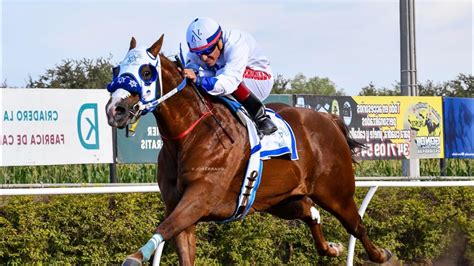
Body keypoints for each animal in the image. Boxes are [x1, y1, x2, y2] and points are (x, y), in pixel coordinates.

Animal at [105, 34, 390, 264]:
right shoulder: (178, 205)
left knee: (357, 226)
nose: (114, 109)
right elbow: (176, 238)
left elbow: (164, 227)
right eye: (117, 69)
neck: (189, 134)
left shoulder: (199, 198)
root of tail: (327, 119)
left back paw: (381, 255)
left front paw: (134, 257)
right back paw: (331, 247)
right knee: (310, 213)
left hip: (336, 192)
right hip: (280, 199)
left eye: (146, 72)